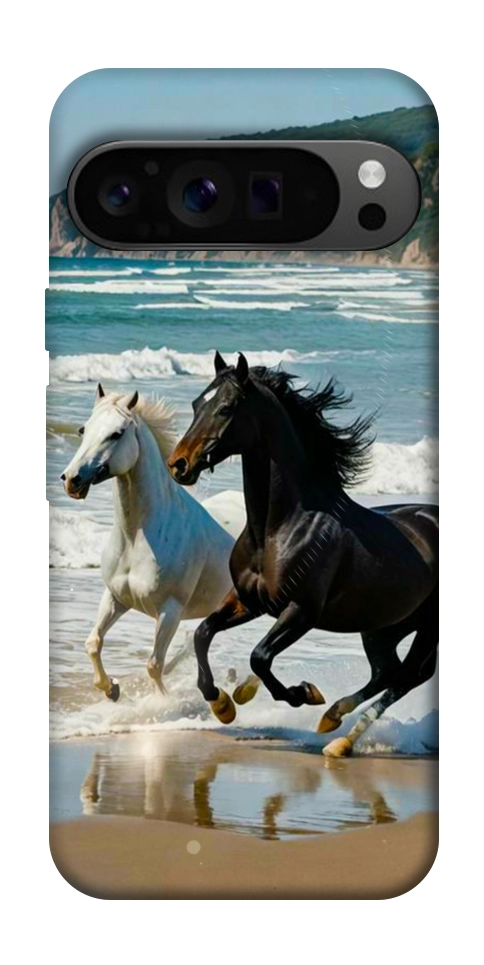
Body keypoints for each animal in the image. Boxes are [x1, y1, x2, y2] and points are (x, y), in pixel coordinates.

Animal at [61, 383, 234, 701]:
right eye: (83, 429)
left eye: (117, 433)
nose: (71, 480)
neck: (137, 538)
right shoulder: (115, 597)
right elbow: (93, 643)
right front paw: (111, 689)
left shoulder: (170, 611)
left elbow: (154, 665)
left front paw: (161, 703)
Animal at [167, 352, 438, 757]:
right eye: (197, 403)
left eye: (226, 408)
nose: (178, 464)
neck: (279, 528)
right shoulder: (250, 601)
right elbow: (203, 633)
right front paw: (223, 704)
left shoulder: (302, 611)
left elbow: (260, 657)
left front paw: (302, 693)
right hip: (383, 626)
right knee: (387, 672)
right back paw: (333, 721)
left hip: (425, 629)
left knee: (408, 676)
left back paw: (339, 737)